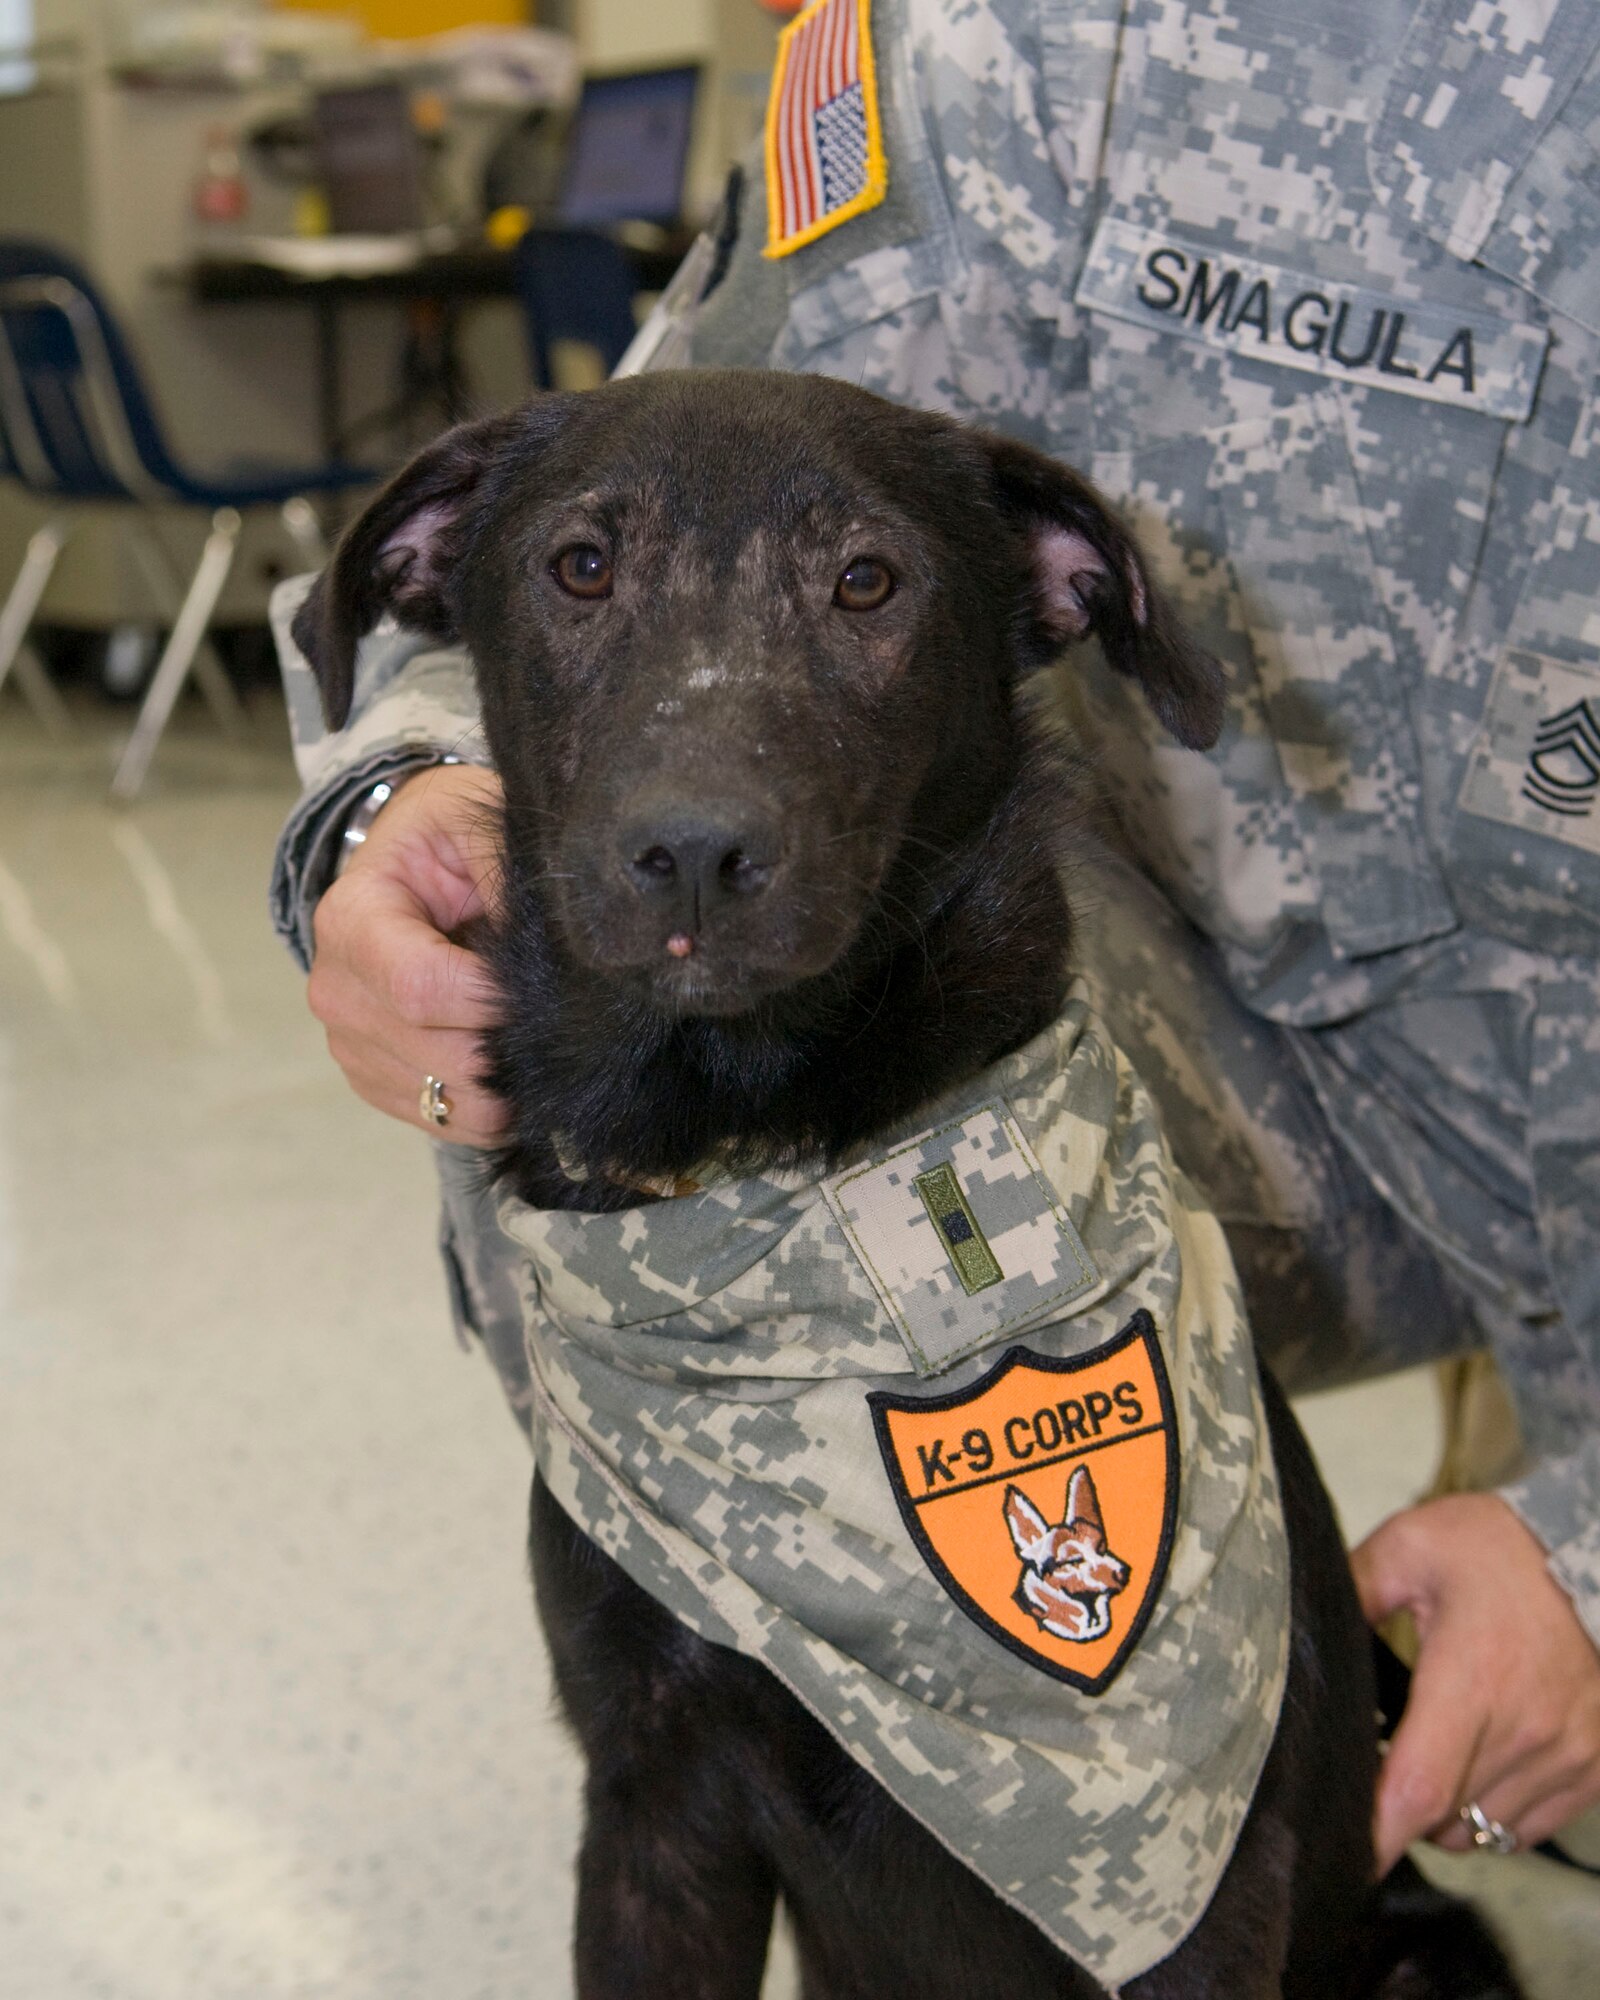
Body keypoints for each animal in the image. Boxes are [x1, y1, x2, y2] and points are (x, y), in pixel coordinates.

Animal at [294, 372, 1520, 2000]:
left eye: (869, 582)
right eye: (580, 567)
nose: (692, 850)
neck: (781, 1161)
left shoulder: (1208, 1901)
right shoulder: (652, 1808)